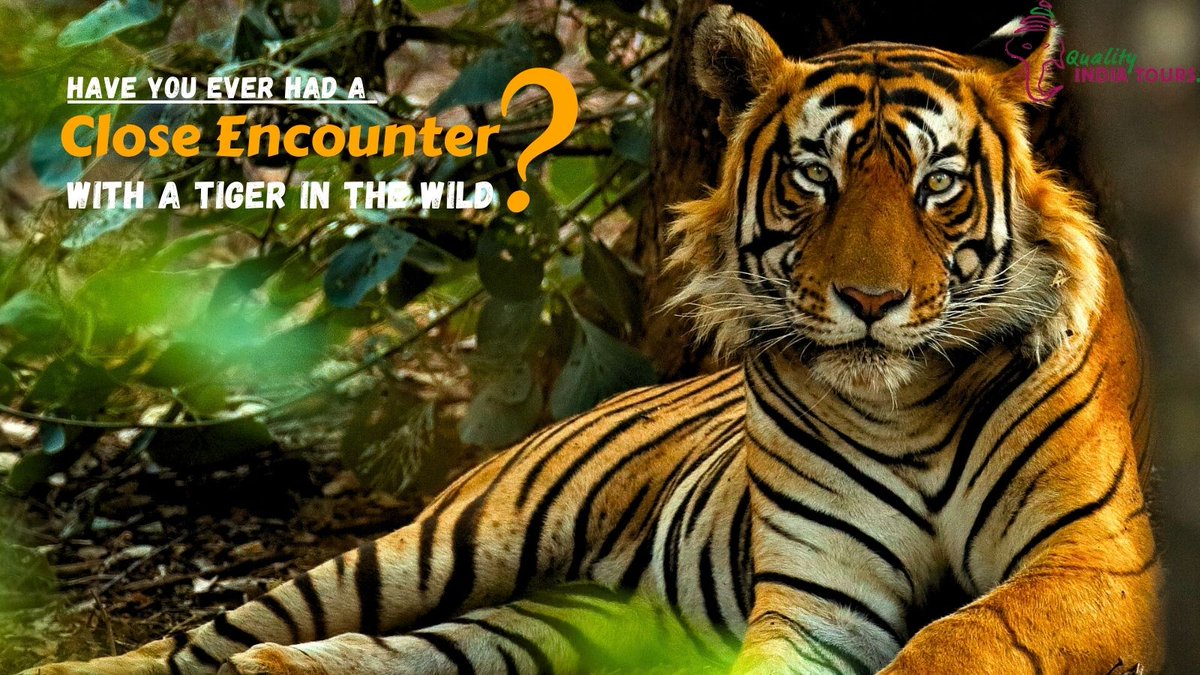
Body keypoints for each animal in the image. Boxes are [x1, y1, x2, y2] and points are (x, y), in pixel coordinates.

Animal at [23, 5, 1161, 675]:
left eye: (938, 184)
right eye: (814, 177)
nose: (871, 300)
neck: (908, 404)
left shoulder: (1096, 562)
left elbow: (962, 634)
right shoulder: (817, 598)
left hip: (556, 620)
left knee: (427, 652)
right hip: (446, 542)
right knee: (209, 634)